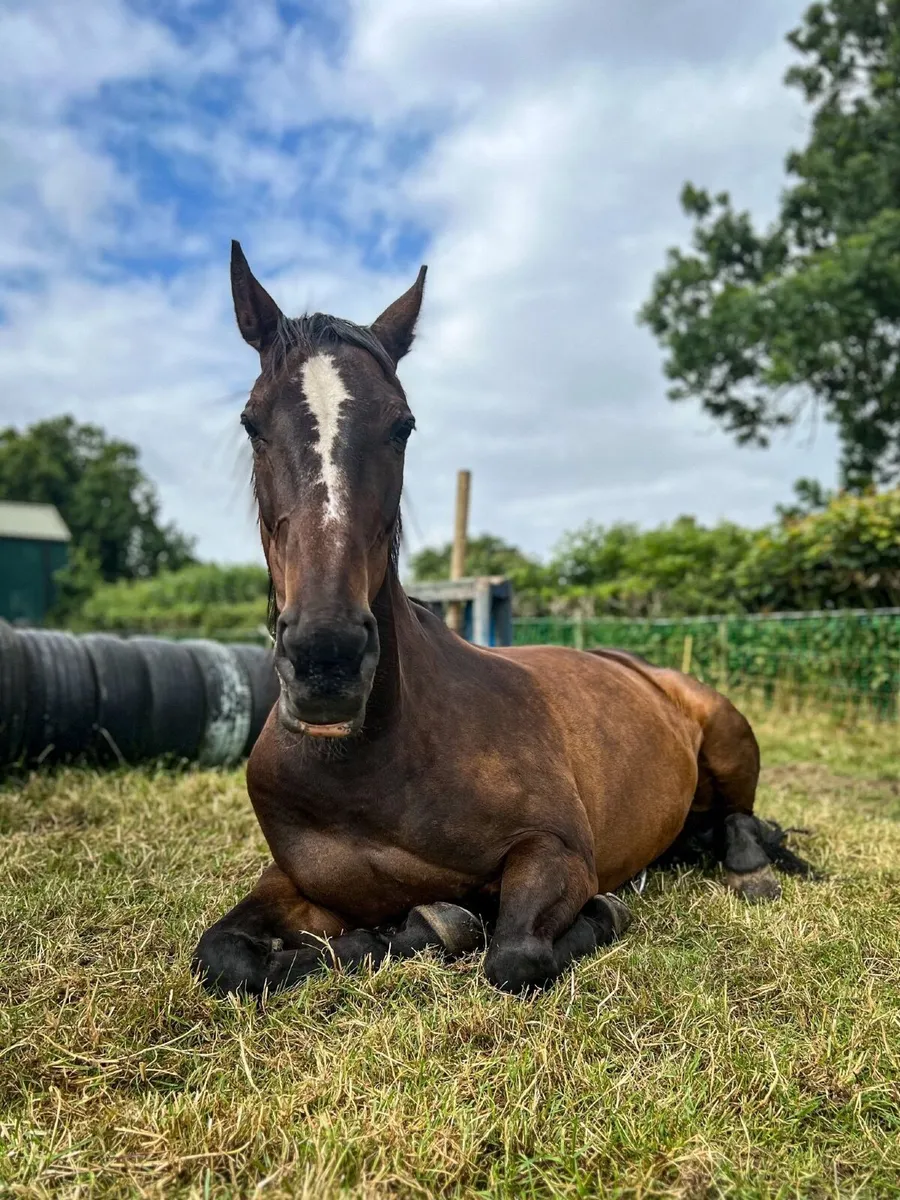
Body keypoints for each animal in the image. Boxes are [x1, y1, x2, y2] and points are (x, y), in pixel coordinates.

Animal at [193, 243, 813, 998]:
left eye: (402, 425)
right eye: (253, 423)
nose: (326, 657)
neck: (371, 763)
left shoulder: (554, 852)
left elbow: (515, 954)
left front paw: (594, 913)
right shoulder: (294, 882)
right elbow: (223, 955)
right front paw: (409, 929)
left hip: (729, 734)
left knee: (740, 819)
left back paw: (749, 869)